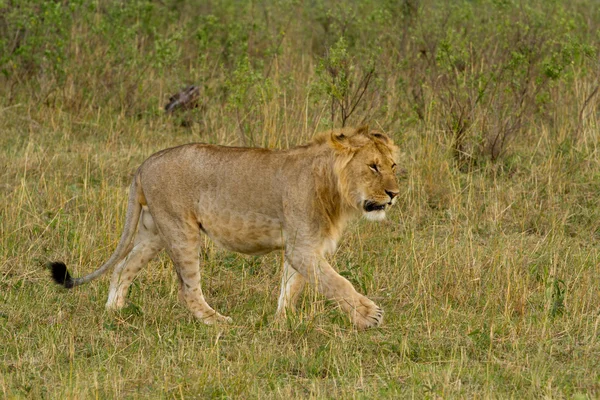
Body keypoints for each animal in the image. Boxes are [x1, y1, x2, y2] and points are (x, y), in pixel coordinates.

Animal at [50, 126, 398, 330]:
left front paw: (281, 322)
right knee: (187, 290)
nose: (394, 194)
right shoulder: (302, 248)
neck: (335, 188)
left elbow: (290, 287)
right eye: (372, 166)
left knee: (123, 268)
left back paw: (115, 313)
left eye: (393, 165)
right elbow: (338, 283)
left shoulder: (303, 246)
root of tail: (144, 164)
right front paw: (369, 316)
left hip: (155, 232)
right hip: (181, 230)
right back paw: (218, 322)